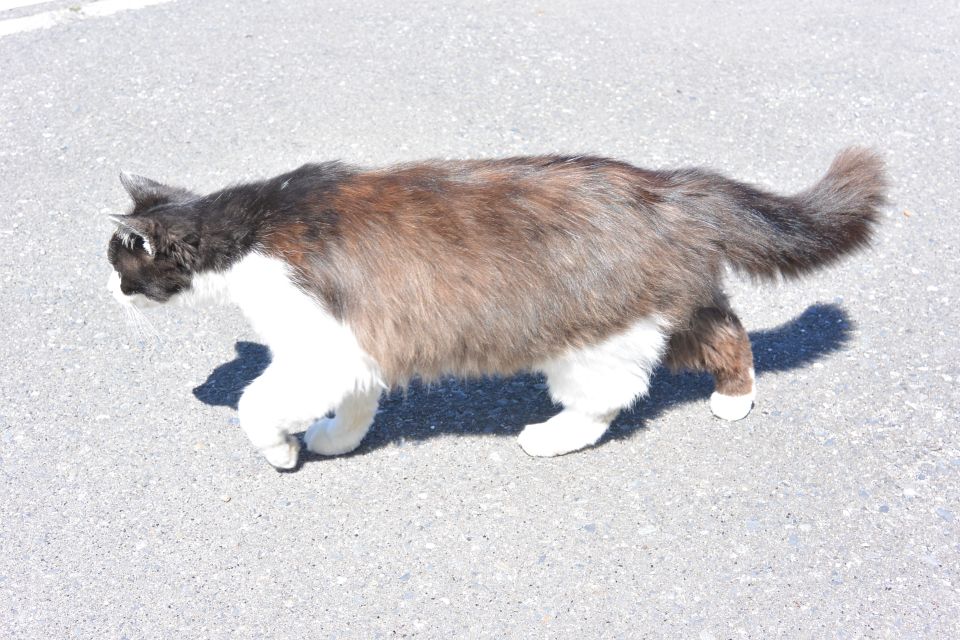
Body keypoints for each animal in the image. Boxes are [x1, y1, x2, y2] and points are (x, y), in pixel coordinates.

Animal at [106, 149, 886, 469]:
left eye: (120, 260)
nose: (110, 288)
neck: (252, 228)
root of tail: (667, 188)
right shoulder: (353, 352)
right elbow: (353, 406)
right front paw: (332, 442)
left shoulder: (317, 348)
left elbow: (256, 406)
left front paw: (282, 452)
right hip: (666, 307)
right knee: (727, 329)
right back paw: (734, 396)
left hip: (592, 339)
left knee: (608, 402)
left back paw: (550, 437)